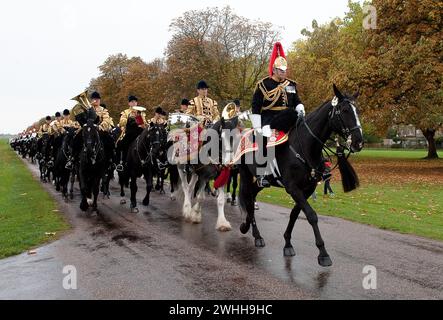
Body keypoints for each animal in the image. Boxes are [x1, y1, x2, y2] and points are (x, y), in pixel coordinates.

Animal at [239, 84, 364, 266]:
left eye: (357, 110)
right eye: (345, 110)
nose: (359, 142)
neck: (304, 146)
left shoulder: (307, 188)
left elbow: (295, 214)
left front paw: (287, 243)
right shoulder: (293, 188)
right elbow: (311, 215)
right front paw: (323, 253)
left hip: (261, 182)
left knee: (251, 197)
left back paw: (248, 227)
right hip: (246, 175)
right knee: (248, 199)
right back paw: (256, 235)